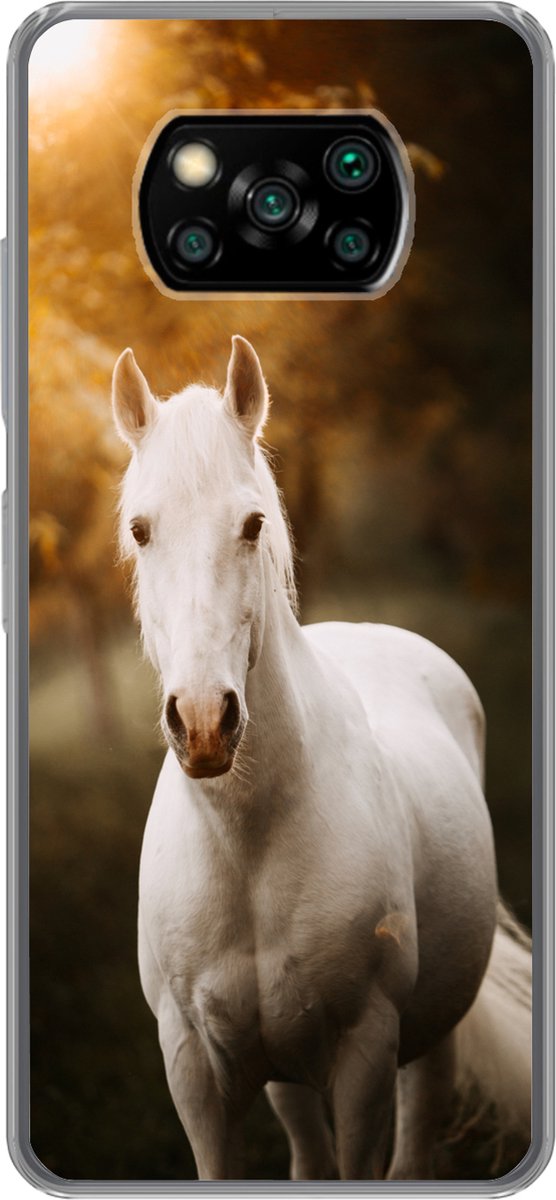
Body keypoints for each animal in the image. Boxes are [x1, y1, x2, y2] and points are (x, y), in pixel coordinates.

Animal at [112, 336, 531, 1181]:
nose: (203, 722)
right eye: (140, 529)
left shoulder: (365, 1054)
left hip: (429, 1040)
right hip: (283, 1074)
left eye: (251, 524)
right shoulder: (194, 1070)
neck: (249, 843)